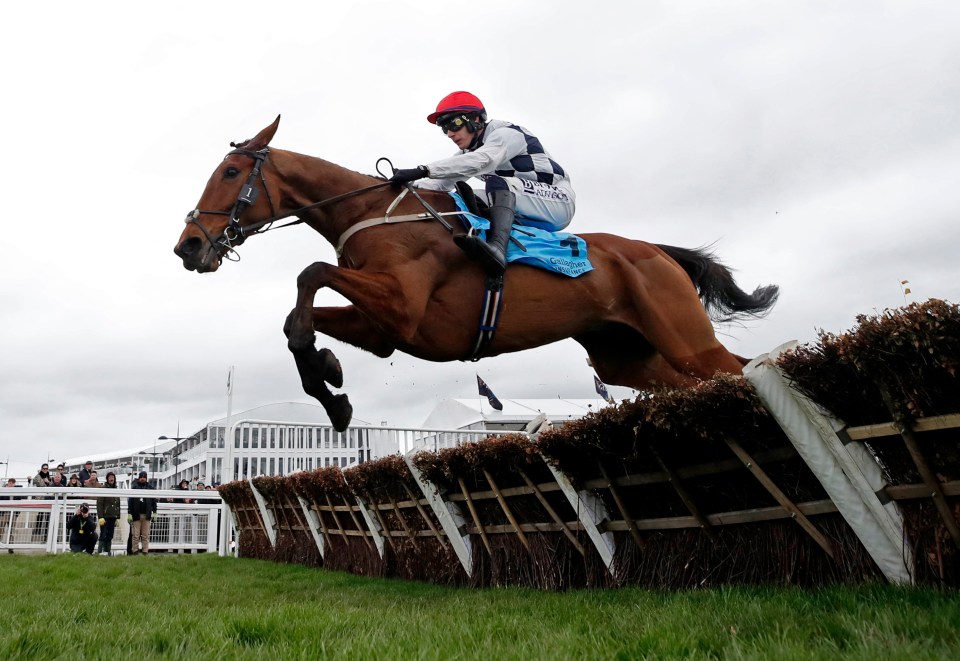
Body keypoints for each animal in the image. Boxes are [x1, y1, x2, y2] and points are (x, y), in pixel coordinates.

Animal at [172, 116, 776, 430]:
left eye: (230, 173)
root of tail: (656, 250)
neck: (372, 215)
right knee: (710, 380)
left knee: (737, 370)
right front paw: (331, 384)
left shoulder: (402, 308)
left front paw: (329, 379)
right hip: (628, 356)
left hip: (684, 340)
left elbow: (310, 272)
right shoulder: (387, 332)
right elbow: (297, 322)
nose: (188, 246)